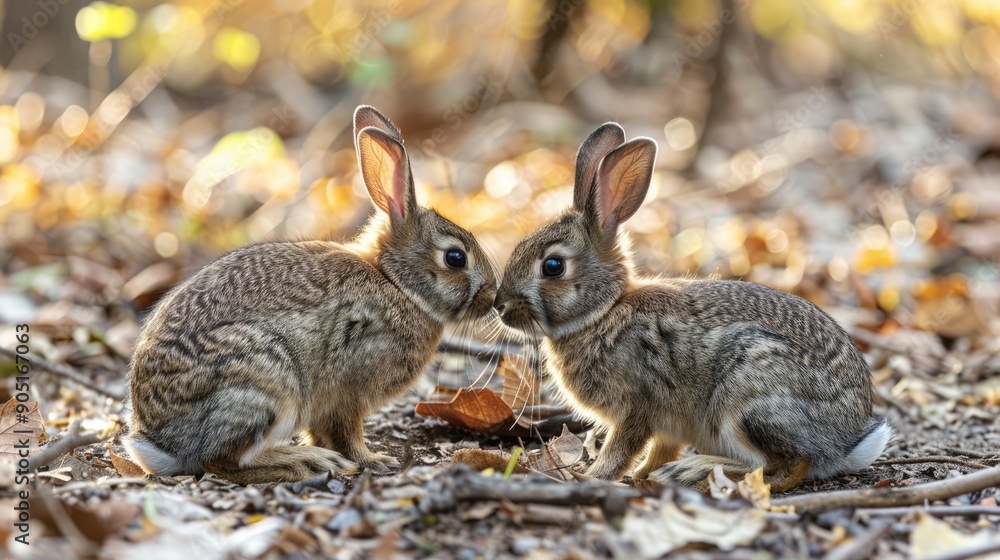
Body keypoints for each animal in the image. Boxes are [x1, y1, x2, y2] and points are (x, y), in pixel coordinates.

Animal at [122, 106, 498, 485]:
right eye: (455, 257)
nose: (493, 295)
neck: (396, 283)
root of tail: (160, 445)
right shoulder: (348, 391)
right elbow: (347, 433)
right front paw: (373, 460)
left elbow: (323, 430)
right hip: (265, 381)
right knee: (222, 461)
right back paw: (305, 462)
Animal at [493, 123, 891, 491]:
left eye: (553, 266)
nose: (500, 305)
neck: (604, 312)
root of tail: (846, 443)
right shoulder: (667, 425)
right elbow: (658, 451)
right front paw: (641, 477)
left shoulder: (637, 408)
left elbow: (622, 449)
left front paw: (593, 477)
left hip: (747, 401)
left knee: (784, 467)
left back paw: (694, 472)